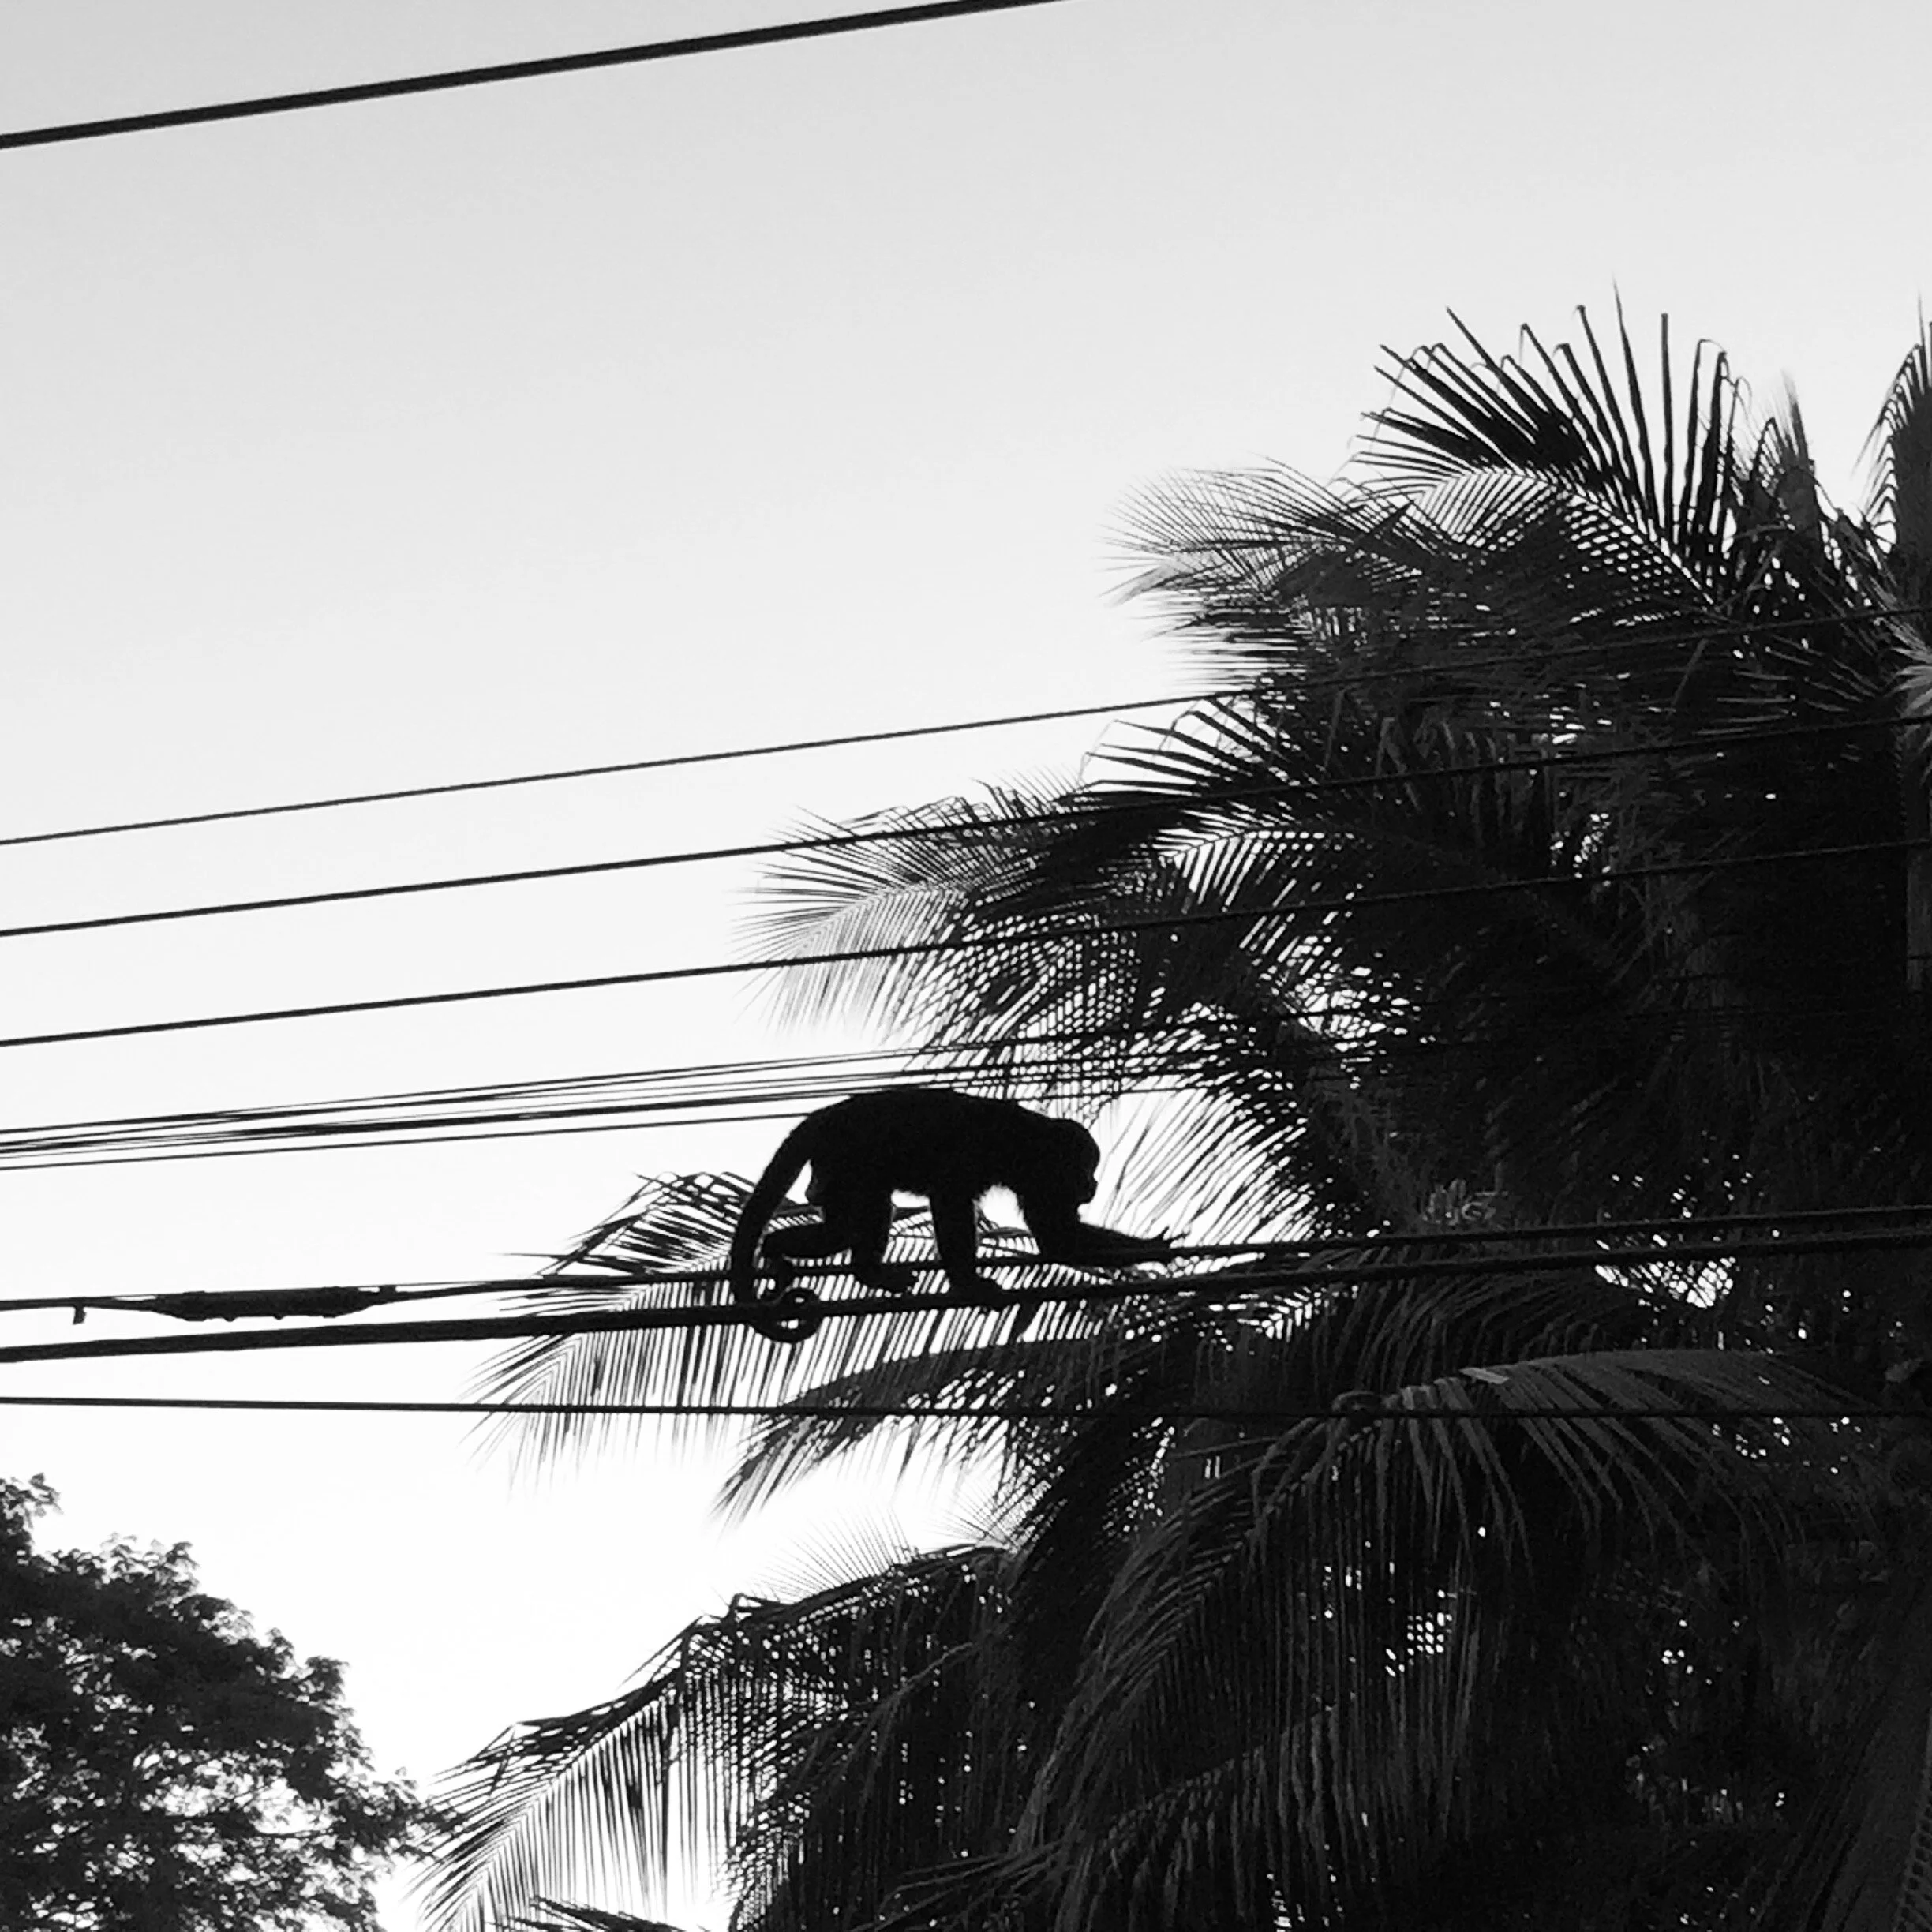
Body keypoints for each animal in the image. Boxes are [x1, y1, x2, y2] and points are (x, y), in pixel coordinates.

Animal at [728, 1087, 1171, 1343]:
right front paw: (968, 1283)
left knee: (849, 1223)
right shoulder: (981, 1151)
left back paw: (803, 1256)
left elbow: (1056, 1238)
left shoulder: (1037, 1181)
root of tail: (823, 1117)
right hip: (844, 1160)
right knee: (857, 1219)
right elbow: (950, 1199)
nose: (1092, 1185)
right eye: (1086, 1168)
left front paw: (1155, 1250)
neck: (1029, 1143)